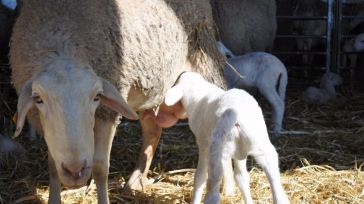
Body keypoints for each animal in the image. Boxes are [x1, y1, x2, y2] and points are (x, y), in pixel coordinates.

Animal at [9, 0, 226, 202]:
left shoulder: (107, 113)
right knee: (153, 130)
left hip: (204, 53)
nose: (75, 171)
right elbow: (53, 166)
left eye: (96, 97)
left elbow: (100, 168)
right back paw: (136, 181)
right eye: (38, 99)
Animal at [164, 71, 288, 204]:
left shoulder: (203, 143)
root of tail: (234, 115)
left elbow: (200, 178)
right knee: (277, 187)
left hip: (217, 152)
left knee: (212, 192)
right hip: (260, 143)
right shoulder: (239, 152)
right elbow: (241, 178)